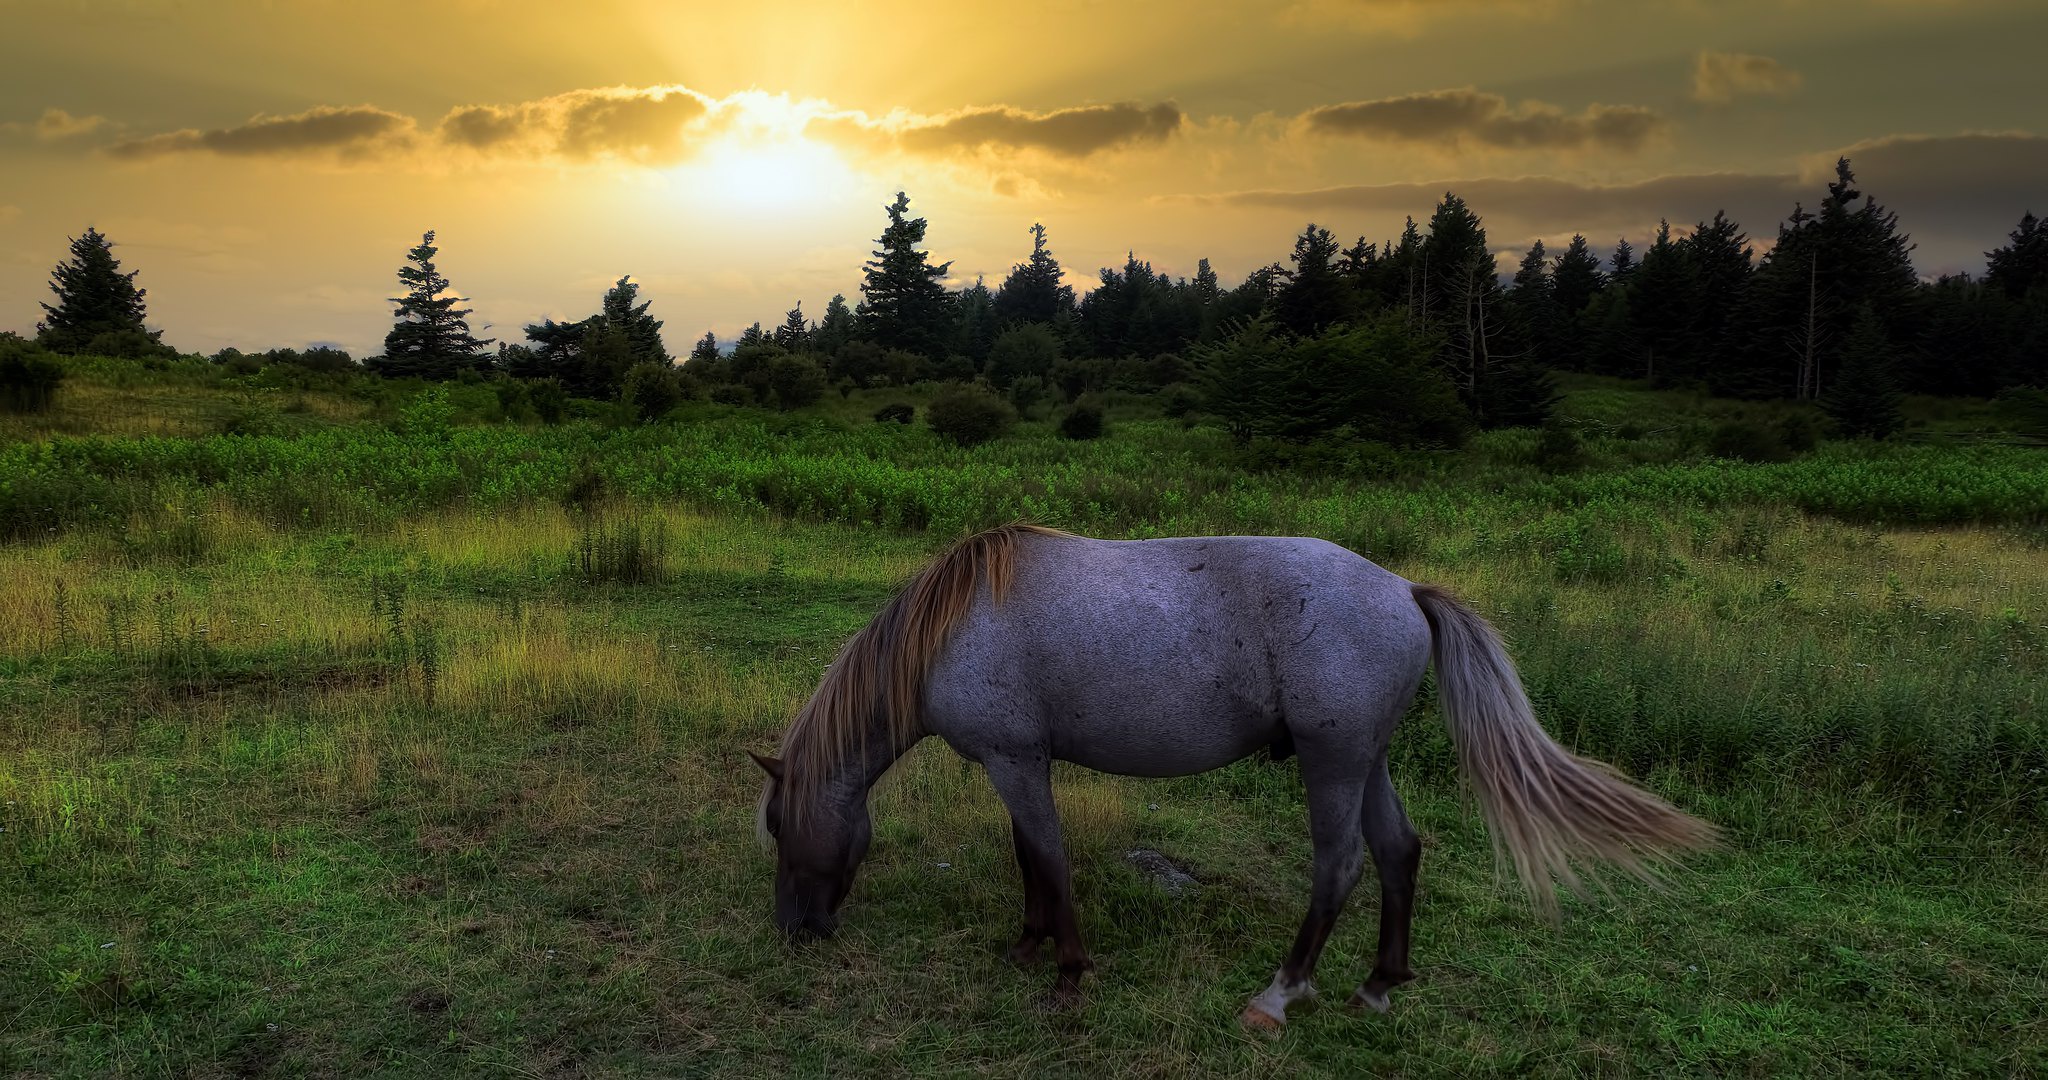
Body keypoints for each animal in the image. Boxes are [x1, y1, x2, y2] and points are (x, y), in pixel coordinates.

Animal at [753, 524, 1712, 1032]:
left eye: (776, 827)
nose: (796, 932)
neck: (954, 627)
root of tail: (1405, 590)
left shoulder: (1014, 761)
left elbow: (1050, 862)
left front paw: (1066, 973)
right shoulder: (1017, 764)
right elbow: (1030, 859)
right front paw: (1027, 946)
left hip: (1332, 763)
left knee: (1341, 866)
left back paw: (1279, 995)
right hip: (1365, 759)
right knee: (1399, 852)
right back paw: (1378, 985)